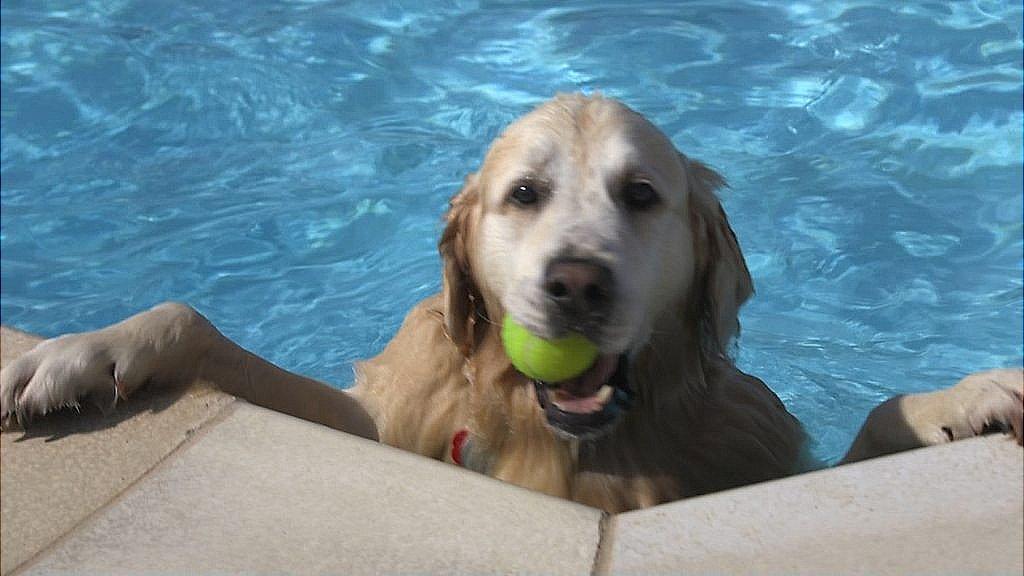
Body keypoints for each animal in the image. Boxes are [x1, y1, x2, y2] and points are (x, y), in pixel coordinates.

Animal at [2, 94, 1024, 510]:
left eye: (640, 195)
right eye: (524, 194)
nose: (576, 283)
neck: (572, 441)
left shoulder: (755, 458)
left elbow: (881, 416)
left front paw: (966, 396)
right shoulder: (391, 417)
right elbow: (200, 324)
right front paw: (89, 348)